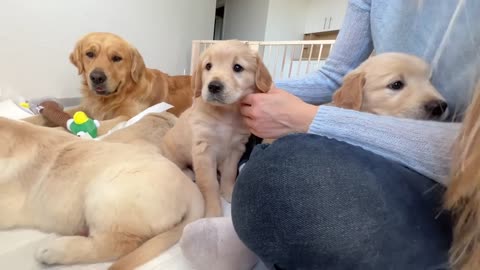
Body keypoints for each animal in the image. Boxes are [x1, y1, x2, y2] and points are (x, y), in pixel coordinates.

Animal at [24, 32, 193, 130]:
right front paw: (25, 121)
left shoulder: (129, 116)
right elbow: (44, 116)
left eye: (117, 58)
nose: (97, 77)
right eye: (90, 54)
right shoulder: (86, 108)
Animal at [161, 40, 272, 217]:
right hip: (173, 156)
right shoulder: (204, 151)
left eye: (238, 67)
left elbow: (230, 174)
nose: (213, 86)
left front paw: (228, 194)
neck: (226, 114)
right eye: (208, 66)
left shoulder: (236, 149)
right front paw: (213, 211)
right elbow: (209, 184)